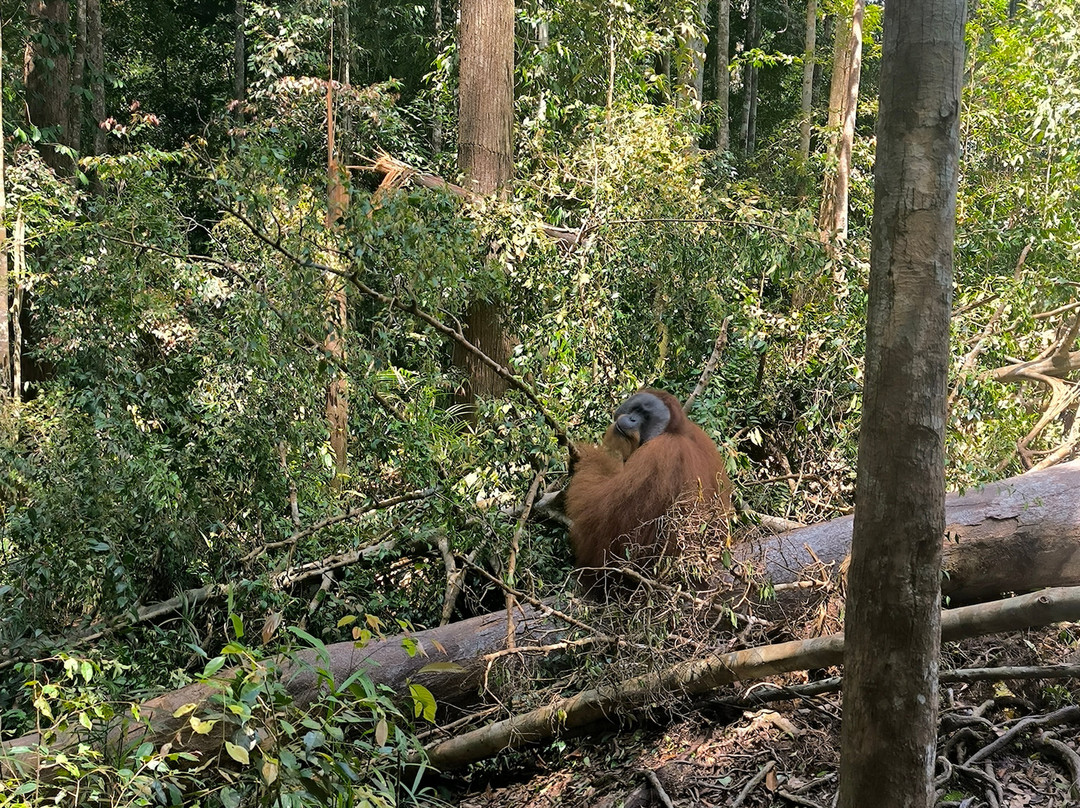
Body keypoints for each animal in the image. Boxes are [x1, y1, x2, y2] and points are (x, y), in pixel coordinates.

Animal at [565, 388, 732, 593]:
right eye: (636, 409)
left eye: (646, 417)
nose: (632, 419)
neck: (673, 430)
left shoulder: (657, 456)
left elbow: (600, 516)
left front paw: (587, 455)